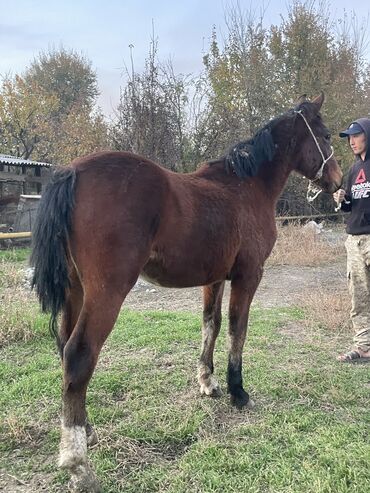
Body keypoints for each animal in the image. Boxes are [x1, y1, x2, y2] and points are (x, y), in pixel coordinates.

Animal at [31, 93, 342, 492]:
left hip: (76, 291)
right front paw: (238, 391)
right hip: (106, 292)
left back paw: (86, 431)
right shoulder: (248, 276)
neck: (245, 188)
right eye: (325, 135)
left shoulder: (215, 279)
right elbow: (238, 329)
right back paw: (78, 464)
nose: (336, 181)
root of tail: (72, 171)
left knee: (65, 349)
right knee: (79, 354)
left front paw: (208, 382)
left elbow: (211, 324)